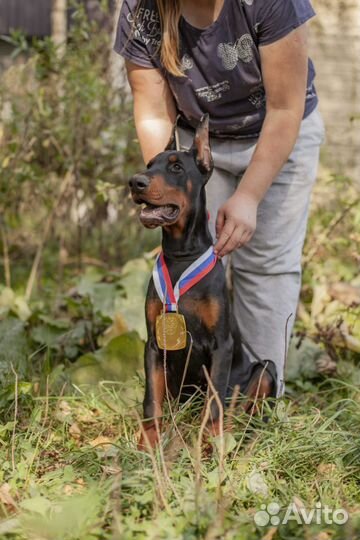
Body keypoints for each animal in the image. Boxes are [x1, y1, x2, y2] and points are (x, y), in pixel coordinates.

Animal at [129, 112, 276, 450]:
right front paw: (147, 445)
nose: (135, 182)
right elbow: (151, 400)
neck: (182, 256)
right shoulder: (153, 345)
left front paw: (212, 445)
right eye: (149, 164)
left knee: (247, 406)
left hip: (266, 369)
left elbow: (215, 401)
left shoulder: (221, 345)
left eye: (176, 167)